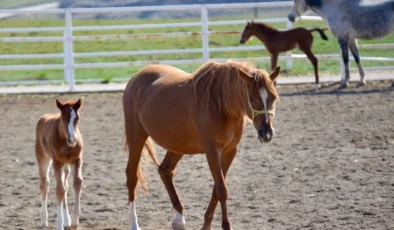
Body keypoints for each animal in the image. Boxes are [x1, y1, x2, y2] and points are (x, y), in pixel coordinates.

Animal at [36, 98, 84, 230]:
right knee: (44, 184)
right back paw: (44, 220)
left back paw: (67, 220)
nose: (72, 139)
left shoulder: (76, 160)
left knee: (65, 185)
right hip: (43, 158)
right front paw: (59, 223)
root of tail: (43, 117)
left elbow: (77, 183)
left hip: (66, 165)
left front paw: (74, 221)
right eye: (62, 118)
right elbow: (59, 190)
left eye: (77, 118)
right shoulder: (57, 163)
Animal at [123, 60, 280, 229]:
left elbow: (216, 189)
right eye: (251, 99)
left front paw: (207, 225)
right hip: (136, 136)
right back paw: (134, 223)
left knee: (165, 170)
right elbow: (221, 189)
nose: (266, 133)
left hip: (178, 144)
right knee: (132, 177)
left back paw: (178, 219)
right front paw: (226, 225)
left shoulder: (230, 151)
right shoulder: (212, 151)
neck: (221, 105)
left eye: (273, 97)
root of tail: (136, 77)